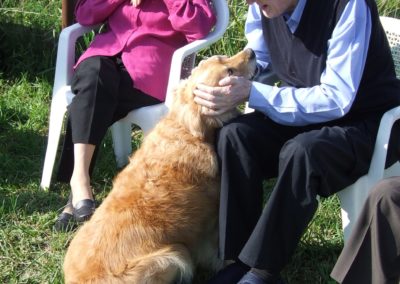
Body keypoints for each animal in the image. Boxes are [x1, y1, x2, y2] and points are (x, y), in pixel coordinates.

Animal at [62, 47, 256, 282]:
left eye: (223, 58)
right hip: (175, 255)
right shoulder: (211, 221)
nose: (252, 51)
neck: (186, 128)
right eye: (229, 72)